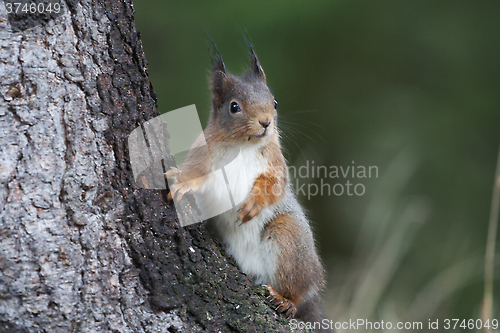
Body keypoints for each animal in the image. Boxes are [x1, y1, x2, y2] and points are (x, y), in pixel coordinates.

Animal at [168, 40, 332, 328]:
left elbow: (274, 185)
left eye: (274, 103)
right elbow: (197, 173)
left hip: (289, 239)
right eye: (234, 107)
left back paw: (285, 300)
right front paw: (182, 180)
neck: (243, 146)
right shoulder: (204, 156)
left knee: (298, 292)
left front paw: (252, 205)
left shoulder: (275, 164)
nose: (266, 122)